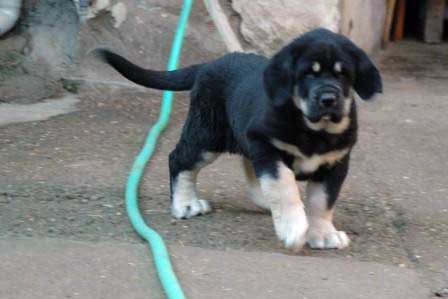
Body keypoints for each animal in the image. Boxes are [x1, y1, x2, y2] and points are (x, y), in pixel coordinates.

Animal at [95, 28, 382, 252]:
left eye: (343, 74)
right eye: (308, 74)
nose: (328, 100)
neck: (313, 129)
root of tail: (208, 65)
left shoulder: (335, 163)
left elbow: (322, 201)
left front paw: (322, 233)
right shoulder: (266, 144)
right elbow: (284, 186)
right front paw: (293, 227)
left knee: (248, 166)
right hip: (206, 136)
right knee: (178, 160)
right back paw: (185, 204)